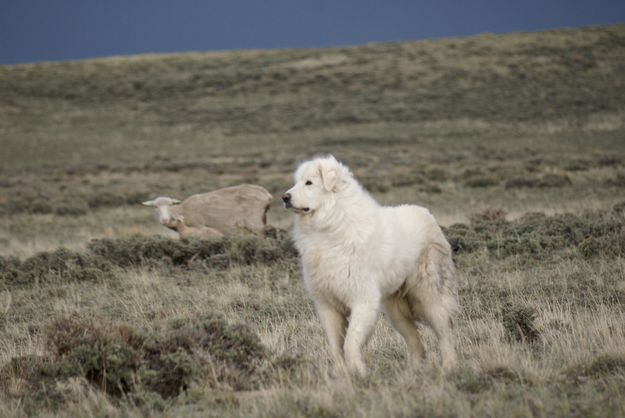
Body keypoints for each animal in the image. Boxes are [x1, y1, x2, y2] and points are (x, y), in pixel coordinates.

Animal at [143, 185, 272, 237]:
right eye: (155, 207)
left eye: (170, 205)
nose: (164, 220)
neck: (182, 211)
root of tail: (267, 194)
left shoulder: (198, 227)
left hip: (255, 224)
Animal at [284, 156, 458, 376]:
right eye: (297, 182)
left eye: (309, 183)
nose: (284, 197)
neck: (332, 222)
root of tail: (427, 214)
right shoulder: (327, 305)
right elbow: (335, 346)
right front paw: (342, 374)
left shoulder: (362, 300)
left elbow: (350, 343)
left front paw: (359, 372)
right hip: (396, 311)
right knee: (415, 341)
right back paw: (413, 372)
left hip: (430, 296)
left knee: (444, 333)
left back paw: (449, 367)